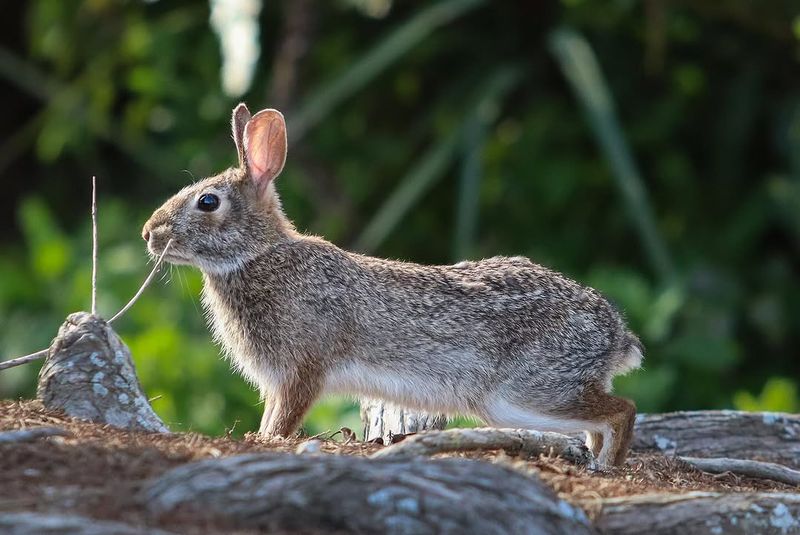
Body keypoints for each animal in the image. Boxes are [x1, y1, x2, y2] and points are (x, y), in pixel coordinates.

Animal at [142, 103, 643, 466]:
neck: (258, 254)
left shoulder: (300, 371)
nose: (150, 233)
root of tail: (616, 335)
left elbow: (283, 420)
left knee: (623, 409)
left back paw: (607, 465)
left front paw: (266, 440)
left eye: (208, 202)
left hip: (527, 392)